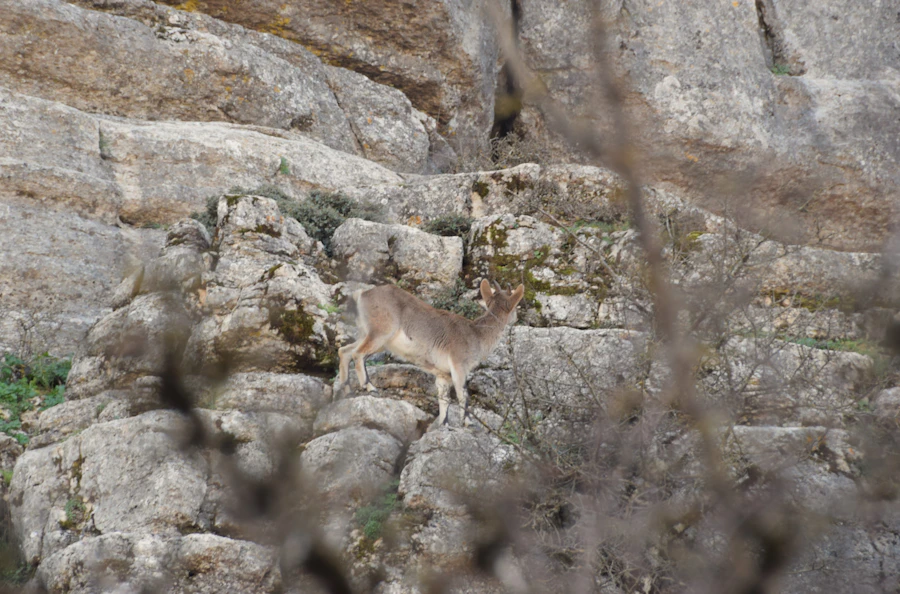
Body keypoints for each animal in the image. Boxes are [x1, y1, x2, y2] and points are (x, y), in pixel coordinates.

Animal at [336, 279, 525, 427]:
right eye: (516, 306)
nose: (516, 318)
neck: (476, 334)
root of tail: (362, 295)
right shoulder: (459, 366)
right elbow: (463, 395)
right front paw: (468, 422)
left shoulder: (443, 374)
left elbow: (444, 400)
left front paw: (445, 424)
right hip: (381, 332)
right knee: (358, 354)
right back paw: (369, 386)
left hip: (370, 336)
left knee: (344, 351)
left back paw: (346, 389)